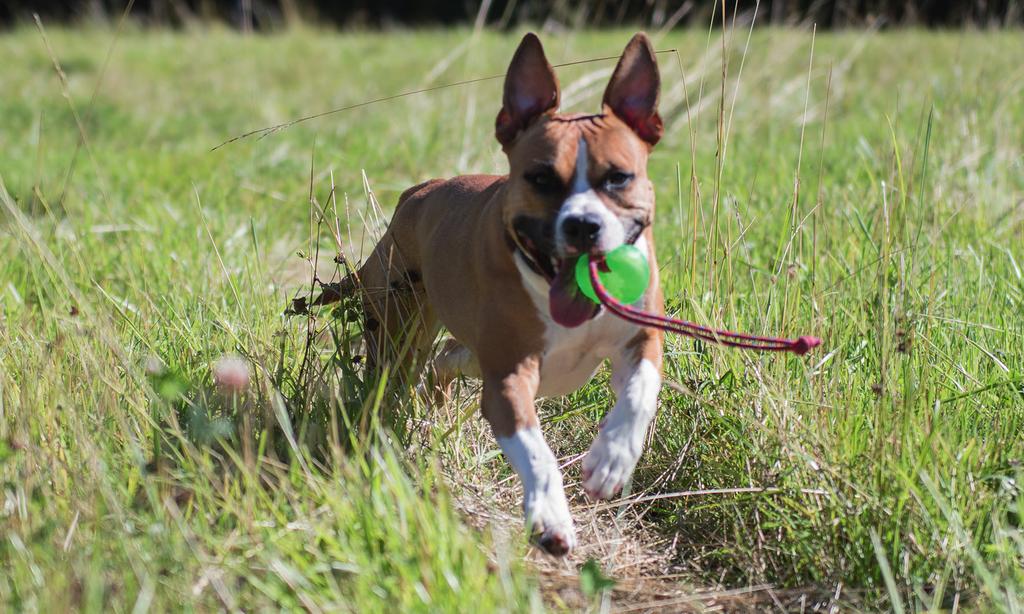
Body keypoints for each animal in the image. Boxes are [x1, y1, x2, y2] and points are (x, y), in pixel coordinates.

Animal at [327, 31, 663, 552]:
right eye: (541, 178)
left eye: (618, 178)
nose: (583, 225)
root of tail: (418, 193)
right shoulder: (508, 379)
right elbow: (535, 450)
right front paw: (550, 516)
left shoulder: (641, 337)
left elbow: (641, 391)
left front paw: (611, 459)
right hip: (400, 331)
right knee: (399, 373)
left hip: (462, 349)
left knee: (445, 361)